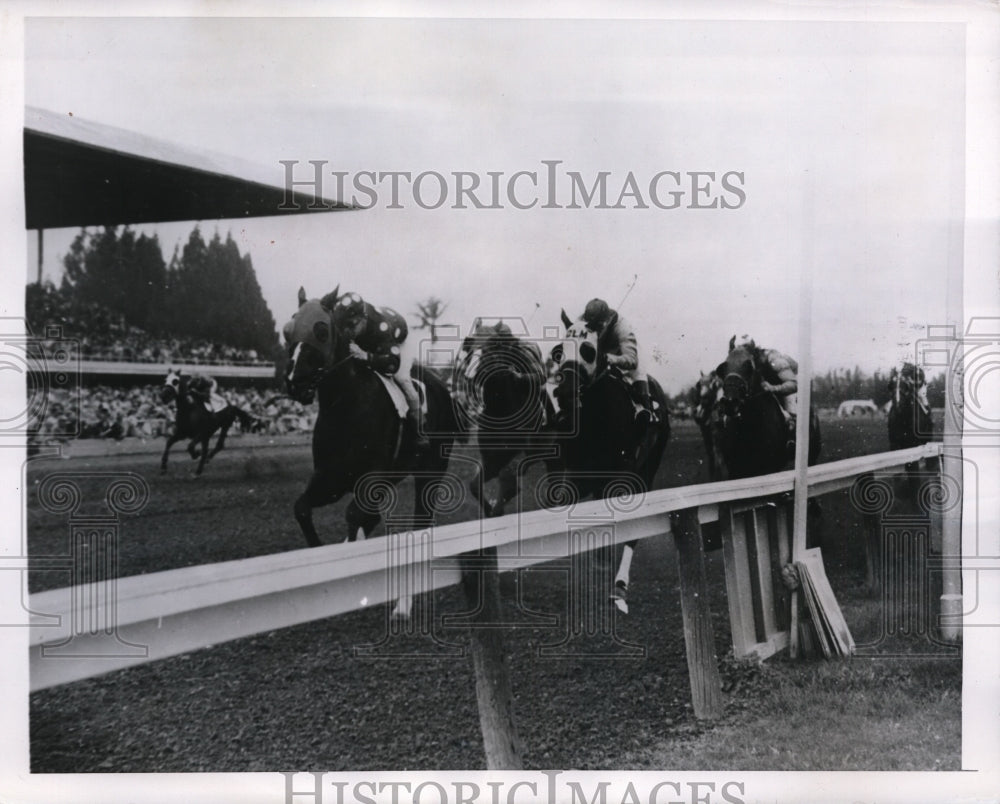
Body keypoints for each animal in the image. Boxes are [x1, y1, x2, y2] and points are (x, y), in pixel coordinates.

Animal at [284, 288, 458, 552]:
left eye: (321, 331)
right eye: (287, 331)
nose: (296, 383)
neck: (345, 407)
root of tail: (442, 385)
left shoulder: (371, 477)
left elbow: (354, 515)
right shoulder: (330, 477)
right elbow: (301, 508)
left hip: (431, 469)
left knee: (422, 517)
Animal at [458, 318, 560, 516]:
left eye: (493, 343)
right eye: (469, 343)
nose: (471, 373)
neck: (501, 410)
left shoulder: (519, 458)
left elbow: (509, 484)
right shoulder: (491, 460)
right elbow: (475, 485)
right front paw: (490, 510)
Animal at [548, 310, 672, 612]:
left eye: (588, 350)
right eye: (559, 351)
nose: (564, 393)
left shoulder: (619, 476)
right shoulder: (575, 474)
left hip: (647, 472)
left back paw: (619, 587)